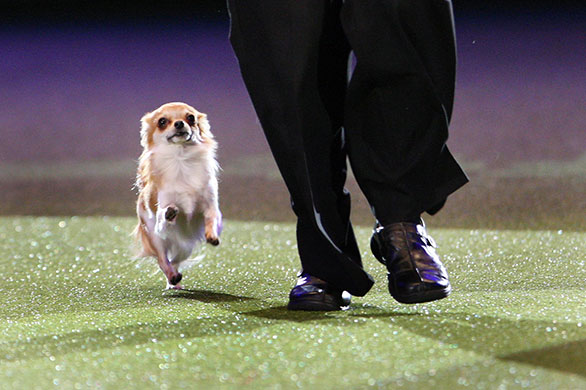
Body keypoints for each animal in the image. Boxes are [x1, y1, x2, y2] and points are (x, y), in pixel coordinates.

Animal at [134, 102, 221, 288]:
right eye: (162, 121)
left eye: (191, 118)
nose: (180, 123)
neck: (181, 158)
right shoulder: (161, 212)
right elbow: (163, 216)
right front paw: (169, 213)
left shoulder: (210, 204)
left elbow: (211, 217)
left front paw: (212, 235)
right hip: (155, 236)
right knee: (162, 259)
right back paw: (172, 276)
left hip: (186, 246)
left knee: (175, 259)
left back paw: (174, 280)